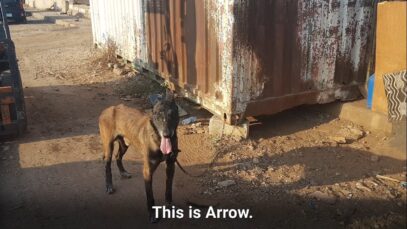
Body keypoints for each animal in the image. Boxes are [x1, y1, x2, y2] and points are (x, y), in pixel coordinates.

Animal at [98, 90, 179, 223]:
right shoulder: (147, 171)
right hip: (108, 145)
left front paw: (169, 205)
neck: (157, 139)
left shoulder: (171, 166)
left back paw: (123, 172)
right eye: (157, 115)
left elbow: (169, 189)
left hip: (125, 144)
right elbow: (150, 196)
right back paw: (109, 185)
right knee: (107, 165)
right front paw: (152, 214)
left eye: (172, 114)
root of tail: (108, 109)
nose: (167, 134)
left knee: (118, 156)